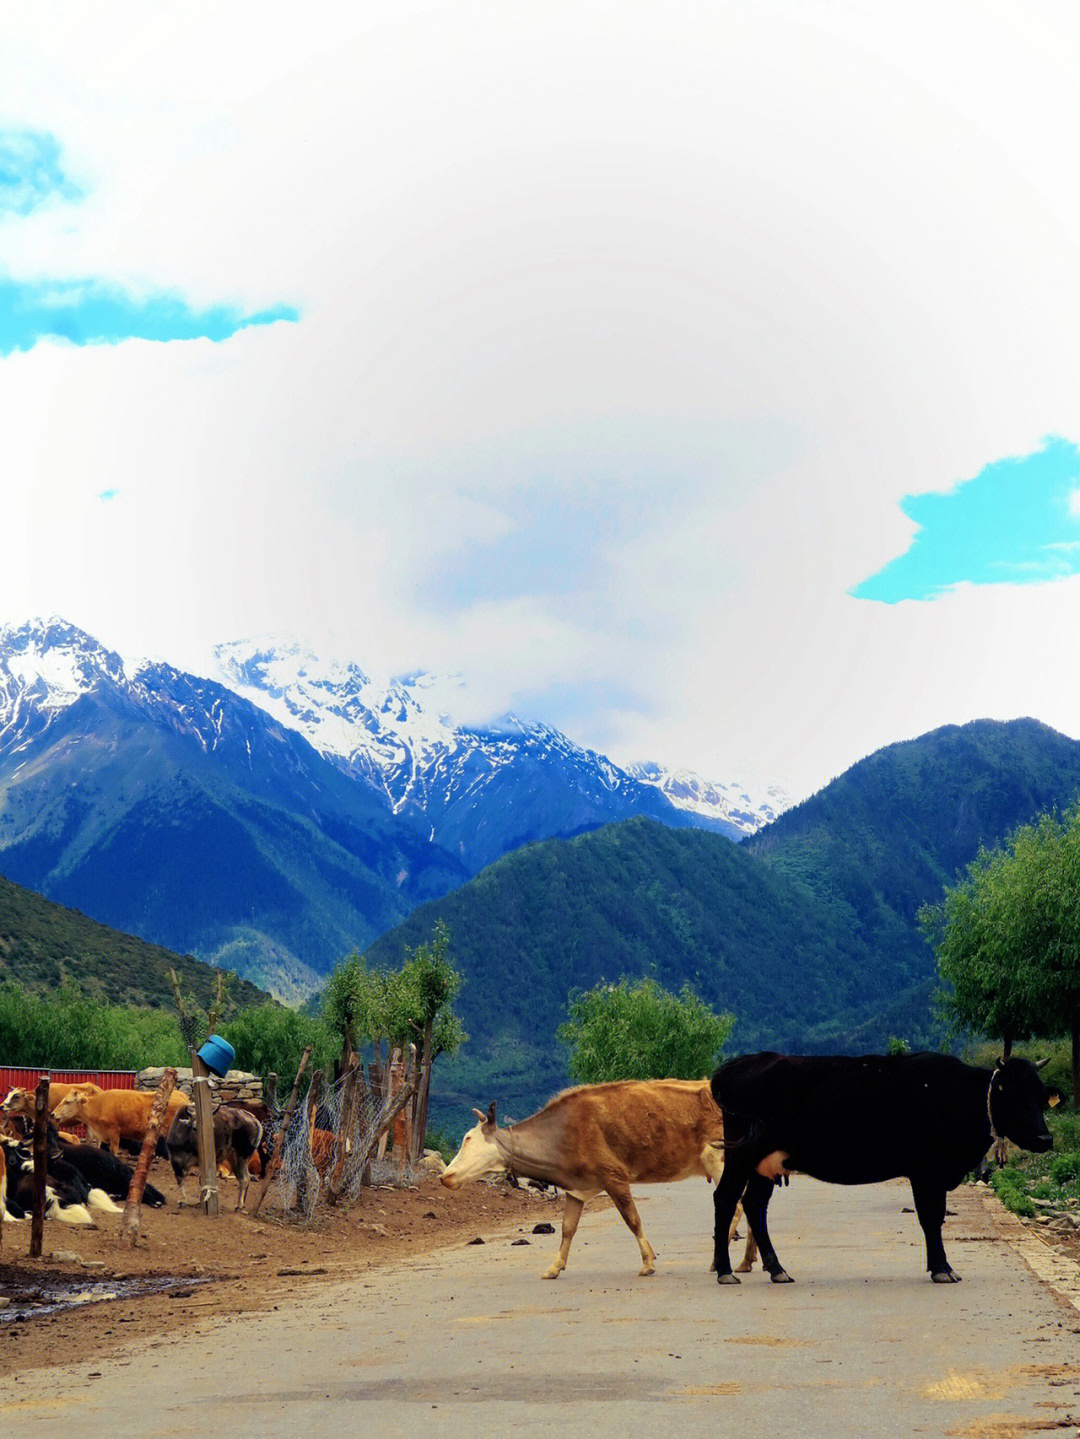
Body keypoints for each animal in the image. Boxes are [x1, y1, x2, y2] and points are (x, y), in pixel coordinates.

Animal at [442, 1082, 753, 1283]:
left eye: (468, 1139)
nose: (445, 1176)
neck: (561, 1137)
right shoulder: (577, 1189)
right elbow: (567, 1229)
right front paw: (554, 1267)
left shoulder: (613, 1176)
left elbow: (632, 1220)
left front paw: (648, 1263)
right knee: (750, 1207)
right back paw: (746, 1262)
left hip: (718, 1158)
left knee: (737, 1207)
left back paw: (719, 1263)